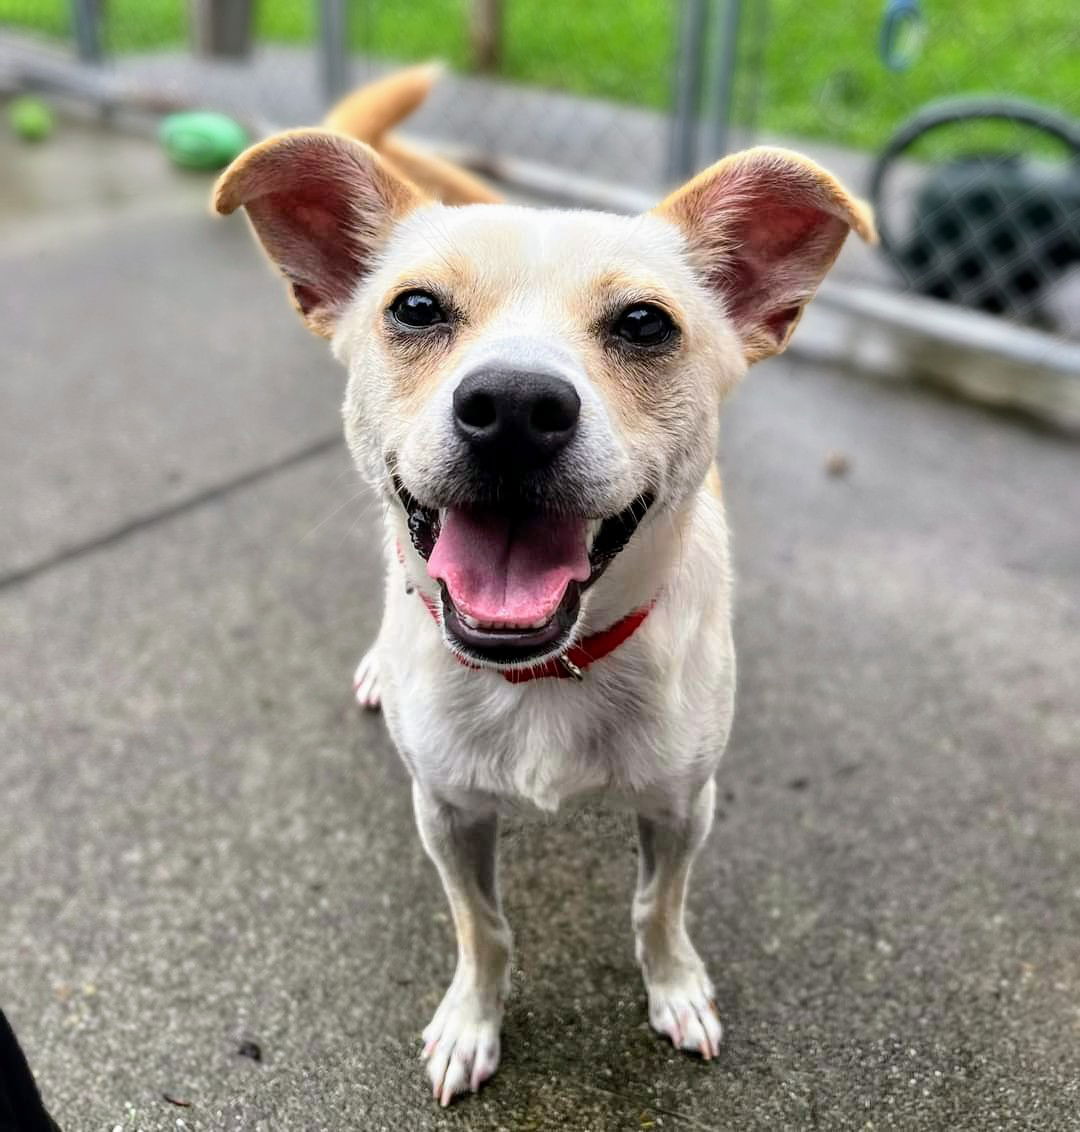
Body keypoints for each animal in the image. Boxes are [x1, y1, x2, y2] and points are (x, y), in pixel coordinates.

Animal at [212, 64, 873, 1104]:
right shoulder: (445, 812)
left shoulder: (683, 807)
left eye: (644, 323)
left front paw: (674, 988)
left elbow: (656, 907)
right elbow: (483, 927)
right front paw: (472, 1022)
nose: (515, 407)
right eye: (415, 309)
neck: (547, 674)